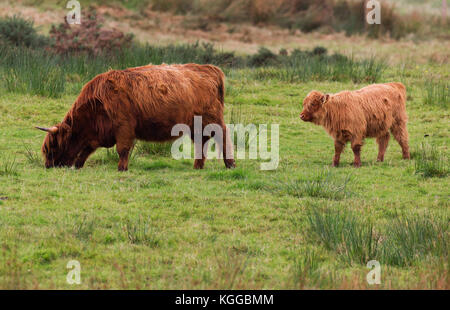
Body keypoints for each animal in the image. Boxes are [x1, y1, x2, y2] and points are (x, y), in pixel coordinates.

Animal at [35, 62, 236, 170]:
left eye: (53, 146)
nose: (48, 165)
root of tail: (207, 68)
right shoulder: (99, 134)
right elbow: (85, 150)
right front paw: (78, 166)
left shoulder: (123, 127)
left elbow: (122, 150)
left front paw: (121, 168)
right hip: (196, 125)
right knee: (201, 142)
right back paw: (198, 166)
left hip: (212, 120)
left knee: (223, 137)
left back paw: (230, 164)